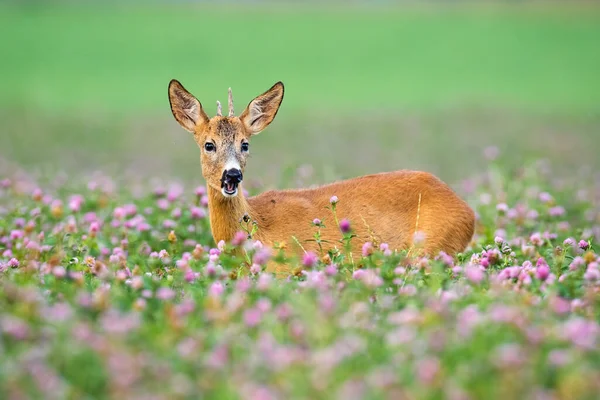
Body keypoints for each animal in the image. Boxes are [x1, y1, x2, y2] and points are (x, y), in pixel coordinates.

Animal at [168, 80, 474, 276]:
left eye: (245, 144)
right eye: (209, 145)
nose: (232, 174)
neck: (258, 227)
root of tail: (467, 210)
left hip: (433, 249)